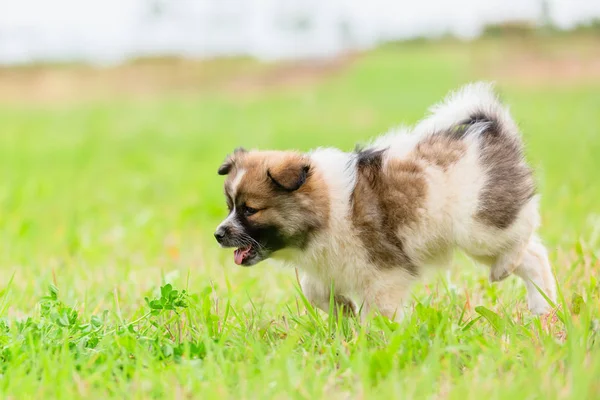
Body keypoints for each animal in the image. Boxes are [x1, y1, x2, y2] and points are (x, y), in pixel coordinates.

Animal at [214, 83, 556, 320]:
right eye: (229, 206)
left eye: (250, 210)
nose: (218, 234)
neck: (326, 210)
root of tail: (496, 133)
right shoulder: (331, 267)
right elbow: (314, 290)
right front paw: (343, 311)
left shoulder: (384, 275)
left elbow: (376, 312)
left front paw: (365, 341)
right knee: (534, 256)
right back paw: (542, 306)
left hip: (478, 225)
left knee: (526, 231)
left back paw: (507, 270)